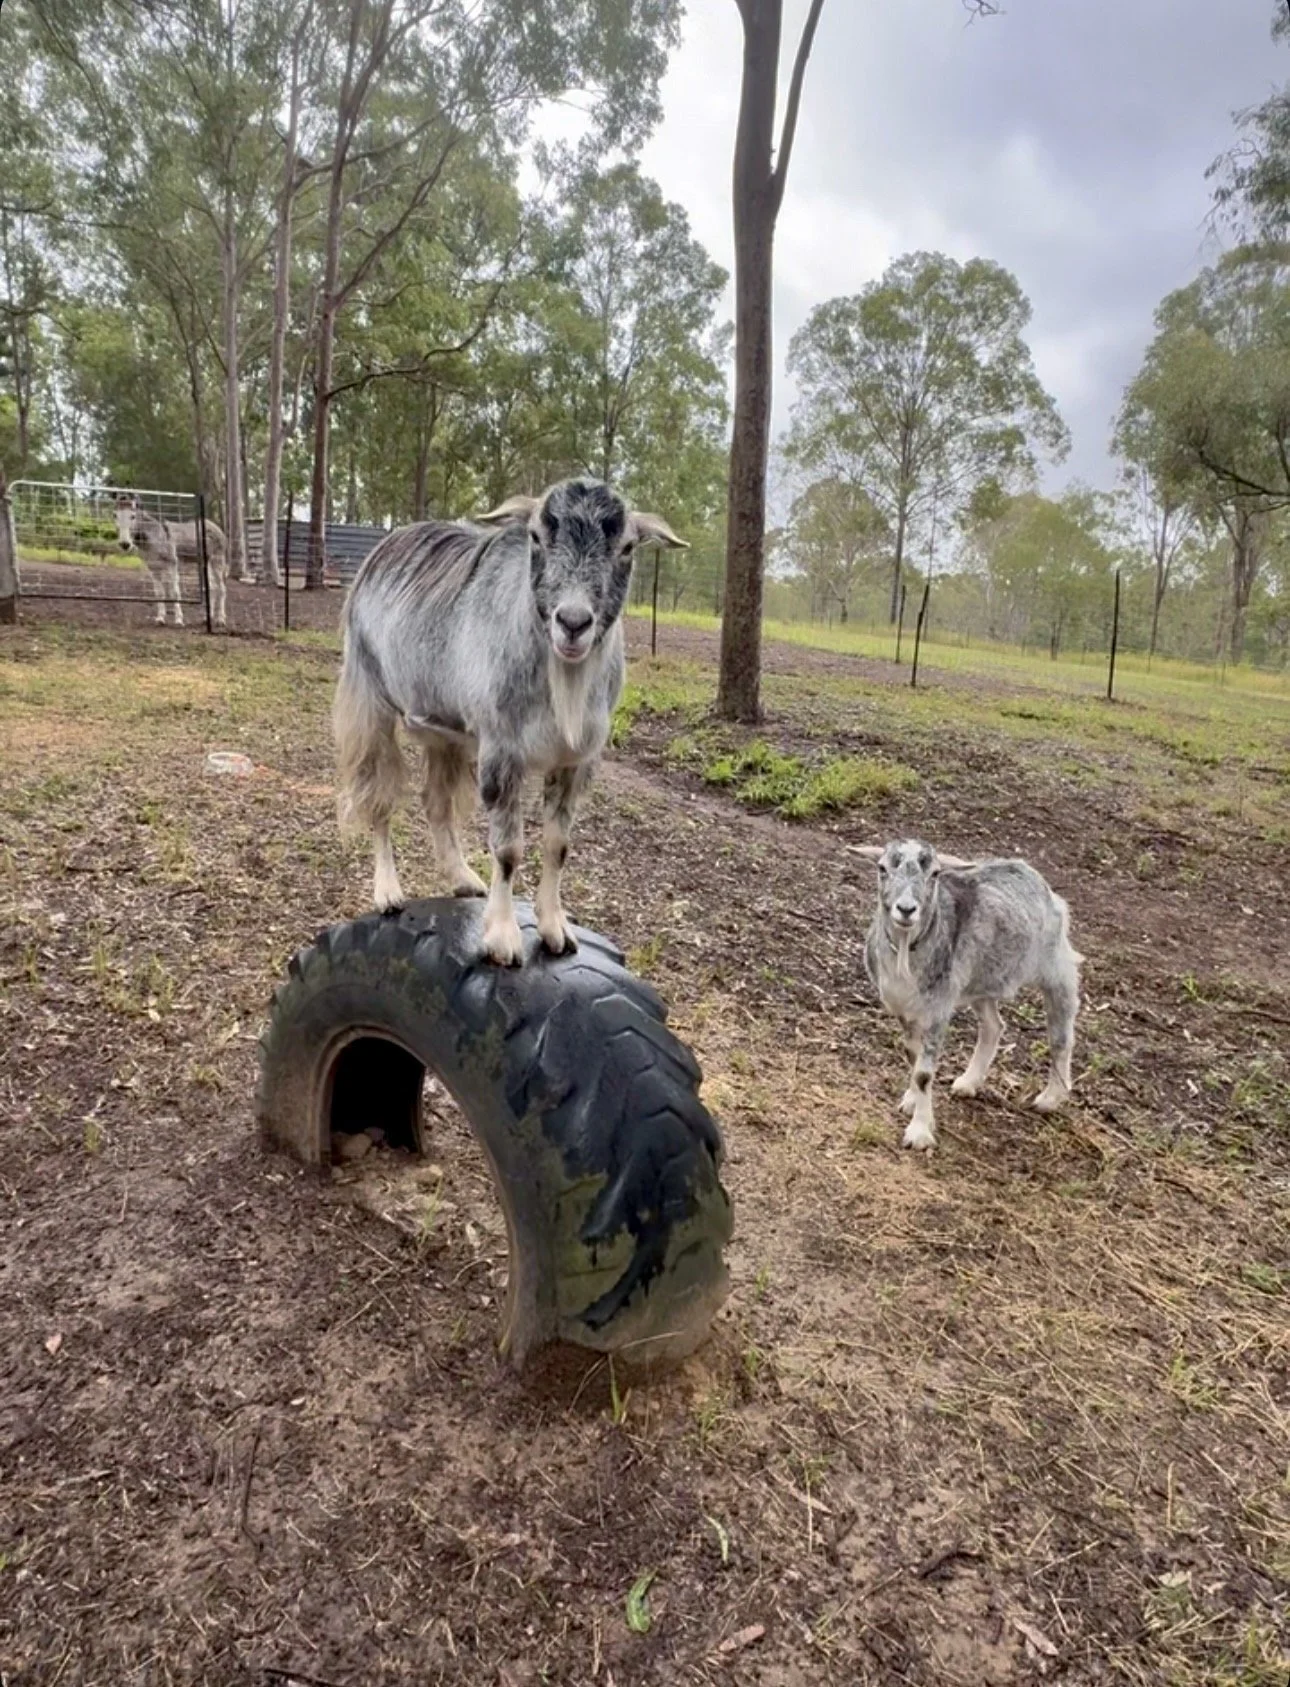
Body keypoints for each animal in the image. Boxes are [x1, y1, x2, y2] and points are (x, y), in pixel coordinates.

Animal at [114, 496, 228, 628]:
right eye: (115, 515)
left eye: (132, 516)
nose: (125, 544)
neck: (154, 537)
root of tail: (215, 526)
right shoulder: (153, 568)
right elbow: (159, 593)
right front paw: (160, 619)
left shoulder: (172, 564)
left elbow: (174, 592)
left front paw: (178, 620)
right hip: (204, 562)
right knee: (213, 587)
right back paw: (207, 618)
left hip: (217, 561)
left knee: (222, 588)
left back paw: (221, 620)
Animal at [333, 478, 686, 965]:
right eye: (537, 535)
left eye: (628, 546)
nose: (572, 622)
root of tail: (388, 542)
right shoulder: (502, 751)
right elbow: (507, 850)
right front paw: (502, 938)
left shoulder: (576, 762)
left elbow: (557, 845)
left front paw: (556, 929)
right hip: (370, 700)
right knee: (379, 797)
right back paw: (388, 892)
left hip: (445, 731)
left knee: (435, 801)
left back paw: (462, 878)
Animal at [854, 839, 1082, 1150]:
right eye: (882, 868)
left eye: (935, 874)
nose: (906, 909)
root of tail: (1031, 872)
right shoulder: (905, 1008)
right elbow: (913, 1058)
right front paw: (911, 1101)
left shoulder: (938, 1009)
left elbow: (924, 1073)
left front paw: (919, 1133)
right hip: (981, 982)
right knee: (993, 1026)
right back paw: (969, 1082)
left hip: (1057, 968)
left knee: (1061, 1035)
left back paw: (1050, 1098)